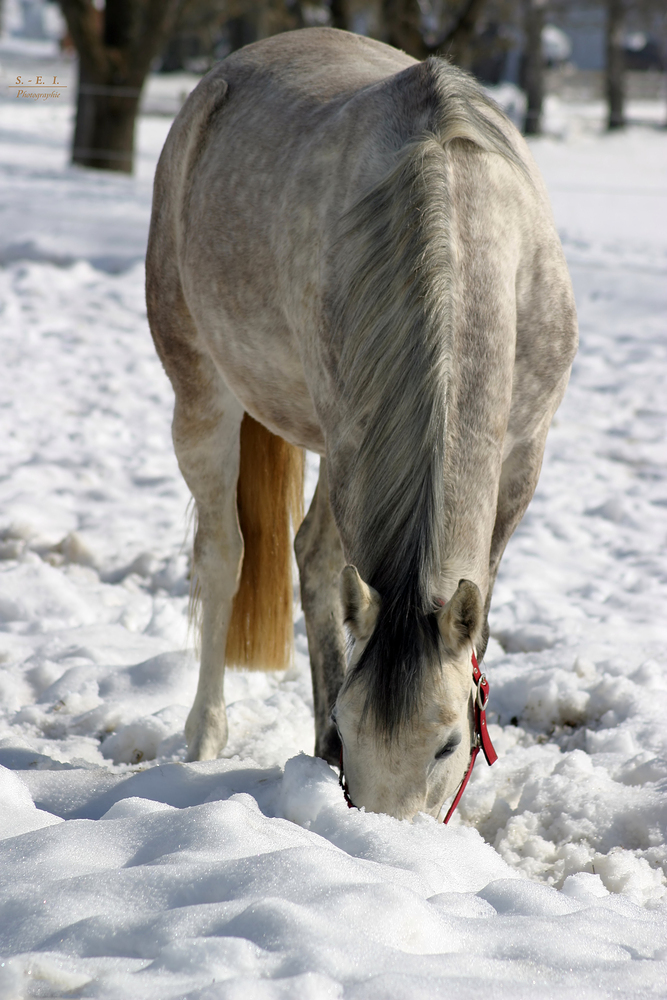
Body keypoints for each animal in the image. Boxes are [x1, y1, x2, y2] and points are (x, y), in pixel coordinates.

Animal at [147, 25, 580, 820]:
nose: (384, 840)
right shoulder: (354, 448)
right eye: (355, 734)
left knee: (310, 553)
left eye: (447, 744)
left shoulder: (520, 461)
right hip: (202, 393)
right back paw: (205, 734)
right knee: (225, 557)